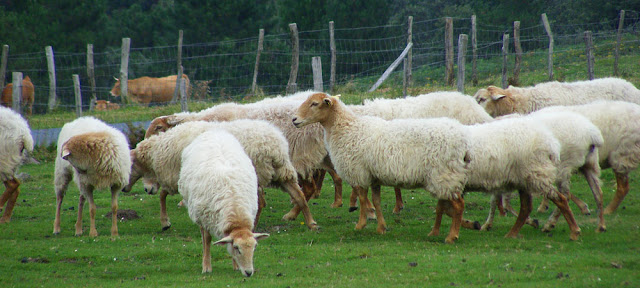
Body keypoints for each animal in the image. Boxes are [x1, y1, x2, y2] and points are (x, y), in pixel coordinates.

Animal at [122, 120, 318, 232]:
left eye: (131, 166)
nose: (124, 188)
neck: (160, 150)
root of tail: (274, 145)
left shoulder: (177, 176)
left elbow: (162, 195)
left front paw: (165, 222)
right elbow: (163, 195)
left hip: (257, 173)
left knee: (261, 202)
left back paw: (253, 226)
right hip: (282, 172)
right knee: (299, 196)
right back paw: (311, 223)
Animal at [178, 129, 268, 276]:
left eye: (255, 247)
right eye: (236, 247)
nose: (249, 272)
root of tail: (214, 131)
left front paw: (235, 266)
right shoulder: (205, 218)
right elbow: (207, 240)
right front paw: (206, 267)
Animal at [294, 92, 470, 243]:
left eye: (314, 103)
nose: (294, 120)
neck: (347, 128)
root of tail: (463, 142)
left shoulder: (359, 172)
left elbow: (363, 200)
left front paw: (360, 224)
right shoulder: (374, 177)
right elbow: (376, 201)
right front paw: (381, 227)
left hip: (445, 175)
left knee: (459, 204)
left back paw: (452, 236)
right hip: (444, 177)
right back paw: (435, 232)